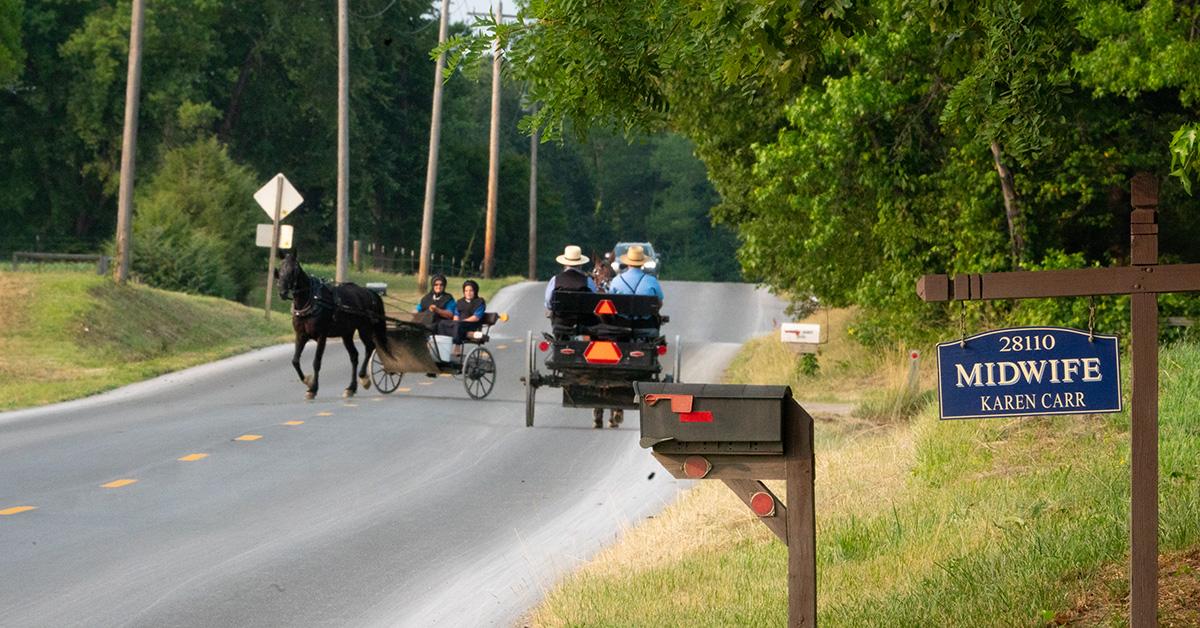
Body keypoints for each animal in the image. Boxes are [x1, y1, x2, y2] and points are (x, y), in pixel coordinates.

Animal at [274, 250, 384, 398]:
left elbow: (316, 362)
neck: (312, 300)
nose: (283, 292)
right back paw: (351, 388)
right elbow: (295, 361)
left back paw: (364, 378)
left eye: (294, 270)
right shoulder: (300, 335)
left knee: (370, 347)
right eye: (280, 269)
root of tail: (369, 292)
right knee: (354, 356)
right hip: (346, 333)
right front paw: (308, 381)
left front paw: (313, 389)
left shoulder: (322, 336)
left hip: (364, 328)